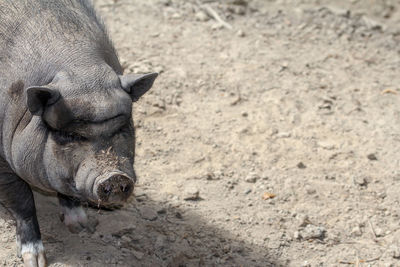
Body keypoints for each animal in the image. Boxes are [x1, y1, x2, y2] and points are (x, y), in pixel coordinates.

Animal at [0, 1, 159, 266]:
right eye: (70, 135)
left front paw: (84, 227)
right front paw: (36, 260)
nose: (114, 176)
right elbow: (22, 201)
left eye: (122, 127)